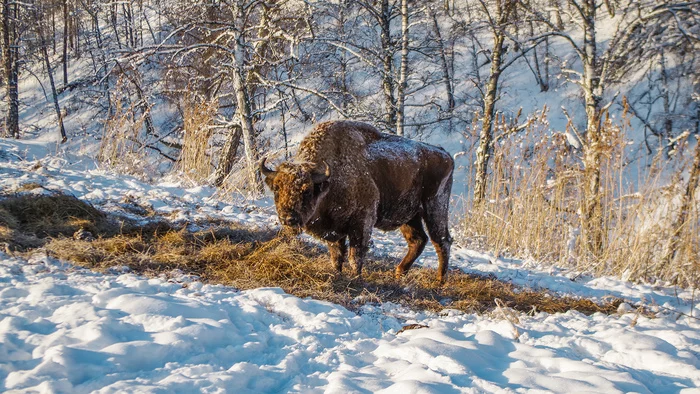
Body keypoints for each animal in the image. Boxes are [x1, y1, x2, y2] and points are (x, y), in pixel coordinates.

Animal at [262, 121, 454, 284]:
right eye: (277, 188)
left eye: (307, 190)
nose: (288, 219)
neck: (331, 178)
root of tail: (445, 154)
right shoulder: (334, 230)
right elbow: (336, 256)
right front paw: (337, 274)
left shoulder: (361, 223)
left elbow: (355, 255)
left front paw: (356, 278)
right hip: (409, 216)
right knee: (418, 240)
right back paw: (399, 273)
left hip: (435, 207)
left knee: (441, 240)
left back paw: (439, 281)